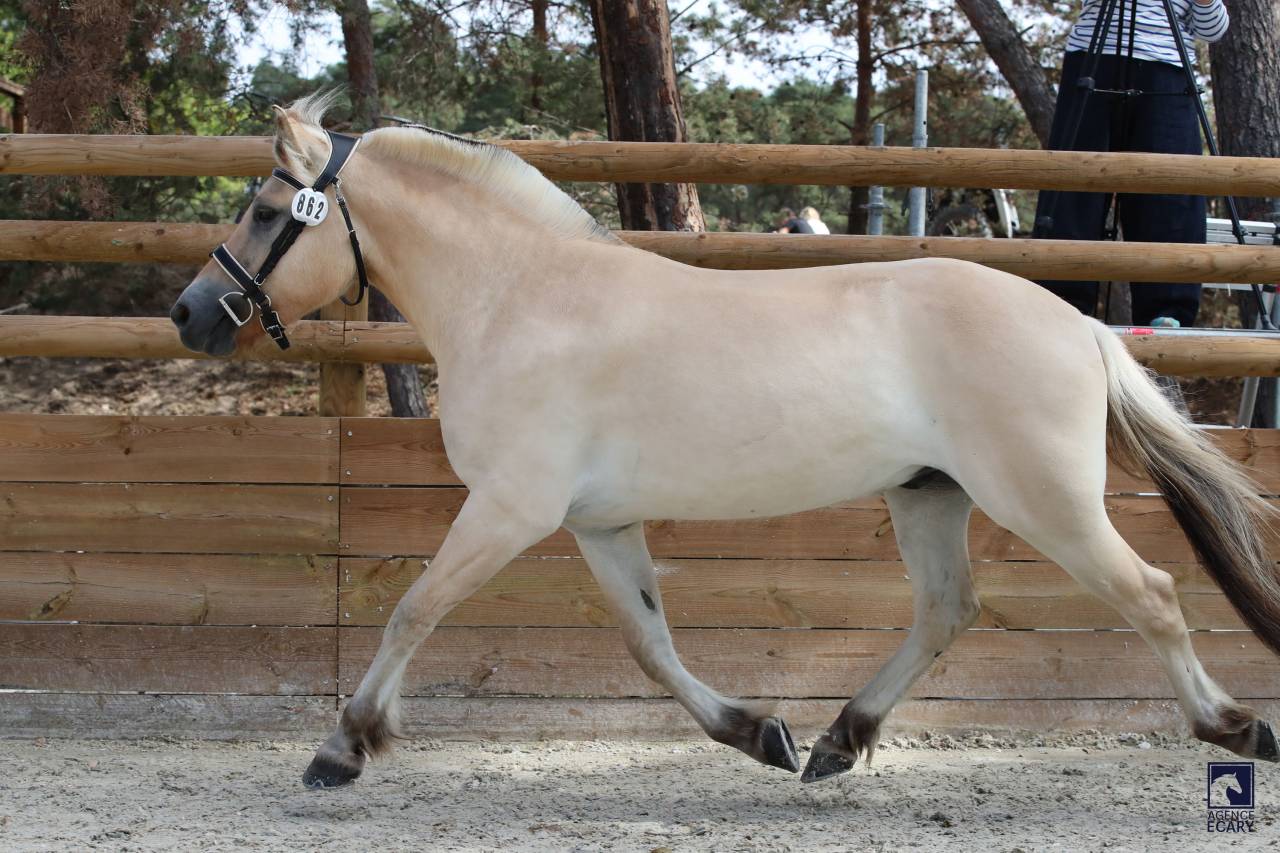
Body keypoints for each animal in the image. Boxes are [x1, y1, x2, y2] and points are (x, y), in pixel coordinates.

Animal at [170, 93, 1280, 788]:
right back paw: (837, 740)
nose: (190, 314)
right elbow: (651, 645)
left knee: (1151, 594)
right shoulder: (597, 523)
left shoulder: (508, 510)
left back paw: (1233, 726)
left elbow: (411, 611)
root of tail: (1080, 324)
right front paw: (760, 734)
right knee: (945, 609)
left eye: (266, 209)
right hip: (928, 492)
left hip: (1042, 499)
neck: (523, 298)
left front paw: (343, 748)